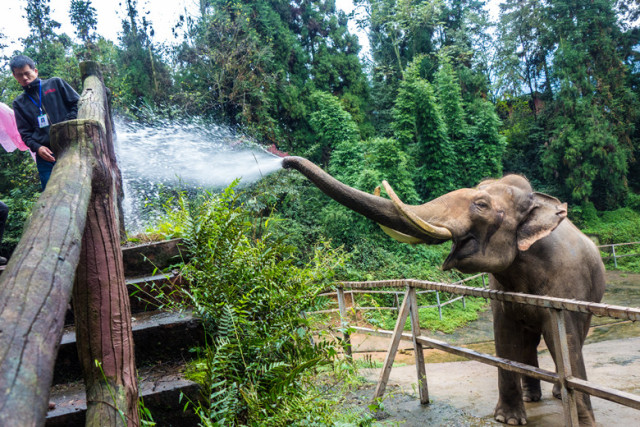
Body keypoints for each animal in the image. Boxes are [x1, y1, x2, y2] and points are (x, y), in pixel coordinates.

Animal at [284, 158, 604, 427]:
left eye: (481, 205)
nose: (285, 162)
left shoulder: (566, 285)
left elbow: (566, 340)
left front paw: (583, 422)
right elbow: (505, 337)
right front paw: (509, 420)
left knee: (570, 337)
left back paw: (558, 394)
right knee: (528, 339)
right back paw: (531, 397)